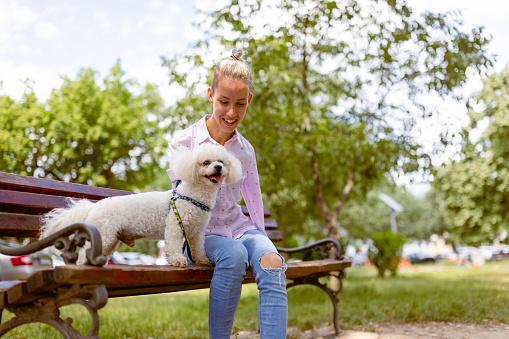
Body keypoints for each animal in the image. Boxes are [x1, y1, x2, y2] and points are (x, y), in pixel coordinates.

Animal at [39, 143, 242, 268]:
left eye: (221, 162)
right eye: (206, 162)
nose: (218, 167)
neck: (192, 196)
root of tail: (94, 206)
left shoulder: (196, 232)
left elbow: (198, 249)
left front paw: (202, 261)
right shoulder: (175, 227)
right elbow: (173, 245)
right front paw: (177, 260)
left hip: (110, 239)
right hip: (104, 233)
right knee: (83, 255)